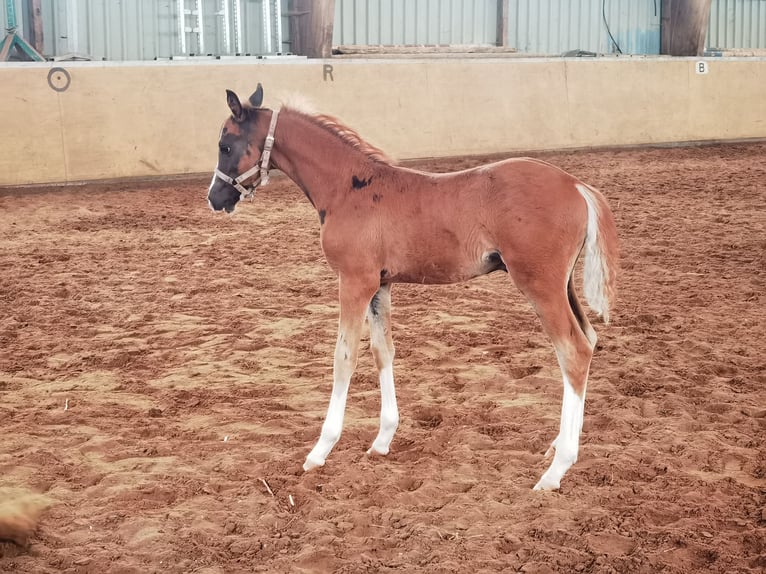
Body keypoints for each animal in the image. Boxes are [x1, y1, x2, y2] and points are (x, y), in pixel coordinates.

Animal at [208, 85, 616, 490]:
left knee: (573, 351)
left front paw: (319, 451)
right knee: (590, 338)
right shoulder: (380, 284)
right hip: (563, 284)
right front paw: (382, 439)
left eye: (225, 145)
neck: (347, 188)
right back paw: (557, 446)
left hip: (540, 284)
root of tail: (576, 185)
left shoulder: (354, 281)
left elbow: (344, 357)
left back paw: (556, 470)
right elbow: (382, 350)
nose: (214, 198)